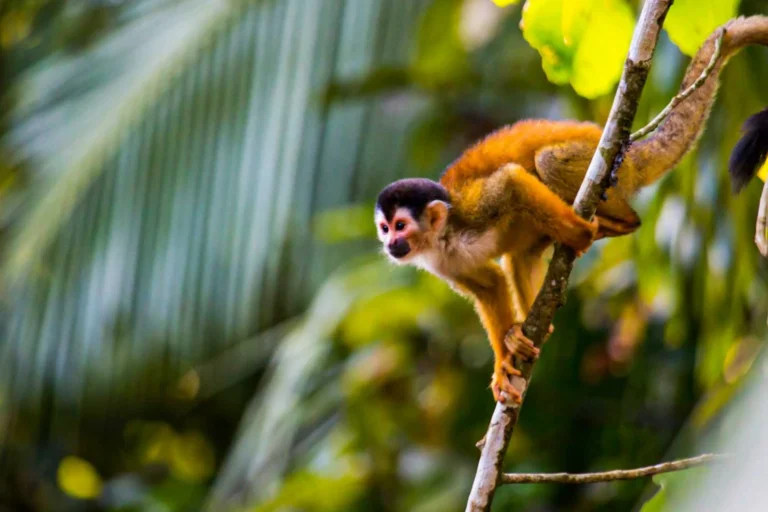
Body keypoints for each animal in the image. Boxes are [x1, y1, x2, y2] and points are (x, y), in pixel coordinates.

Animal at [375, 16, 768, 403]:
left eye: (400, 225)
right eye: (384, 228)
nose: (391, 245)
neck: (442, 237)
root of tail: (630, 148)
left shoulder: (470, 208)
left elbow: (510, 181)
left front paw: (580, 233)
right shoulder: (441, 265)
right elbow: (489, 285)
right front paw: (504, 360)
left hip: (606, 165)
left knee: (546, 161)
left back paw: (617, 222)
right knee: (518, 257)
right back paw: (531, 329)